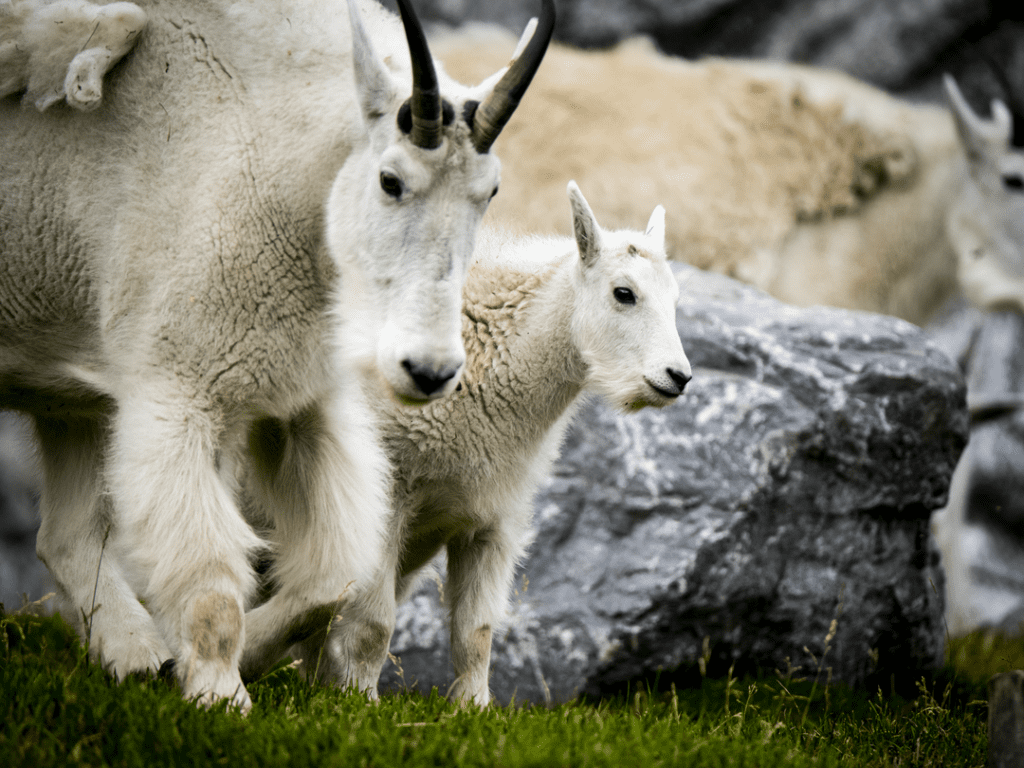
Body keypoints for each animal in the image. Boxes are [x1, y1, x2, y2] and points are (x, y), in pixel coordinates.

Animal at [0, 0, 552, 716]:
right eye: (391, 179)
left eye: (490, 192)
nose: (429, 371)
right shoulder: (177, 394)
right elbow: (211, 578)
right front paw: (220, 697)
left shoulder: (305, 402)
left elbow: (332, 575)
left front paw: (243, 661)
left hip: (74, 399)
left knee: (65, 536)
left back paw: (139, 658)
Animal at [288, 180, 692, 704]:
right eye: (624, 293)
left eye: (675, 297)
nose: (678, 377)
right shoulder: (389, 496)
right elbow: (375, 623)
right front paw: (360, 701)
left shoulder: (494, 518)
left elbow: (475, 631)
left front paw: (473, 707)